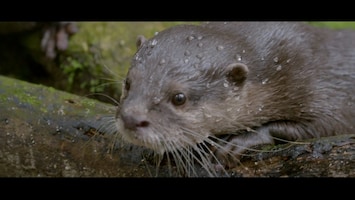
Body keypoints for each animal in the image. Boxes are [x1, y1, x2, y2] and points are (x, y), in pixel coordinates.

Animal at [114, 21, 355, 177]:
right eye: (128, 83)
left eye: (179, 98)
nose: (131, 119)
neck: (280, 63)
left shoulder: (322, 88)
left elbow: (327, 125)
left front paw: (239, 142)